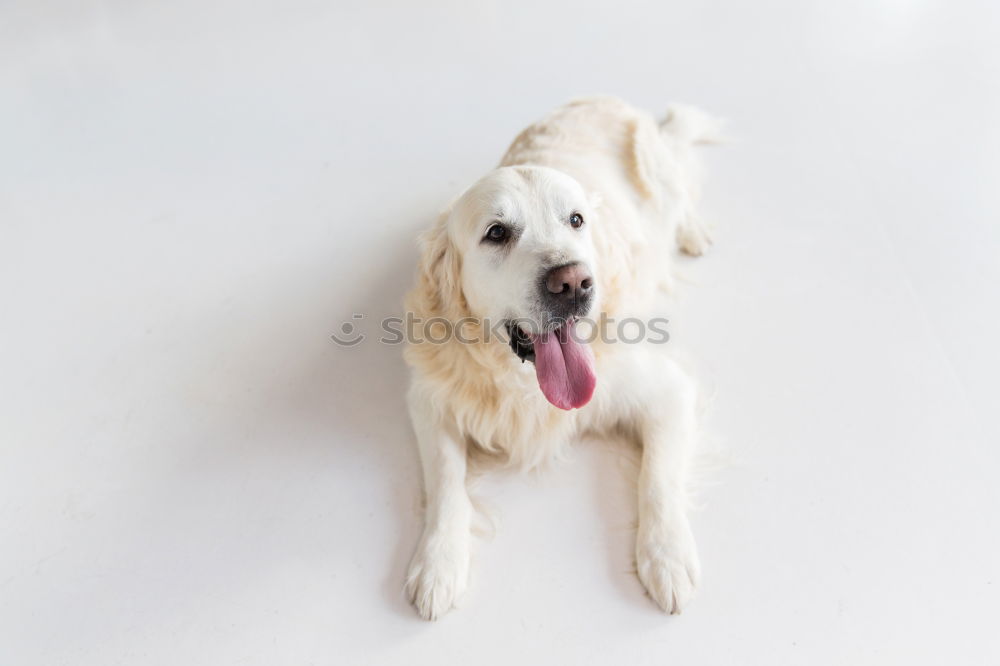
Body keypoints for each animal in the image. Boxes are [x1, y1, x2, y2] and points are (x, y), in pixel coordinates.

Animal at [402, 94, 716, 616]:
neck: (525, 385)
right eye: (496, 233)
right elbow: (445, 479)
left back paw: (693, 231)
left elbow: (657, 479)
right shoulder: (429, 400)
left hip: (660, 171)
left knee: (681, 189)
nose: (572, 282)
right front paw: (438, 564)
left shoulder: (666, 391)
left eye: (576, 220)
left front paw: (667, 557)